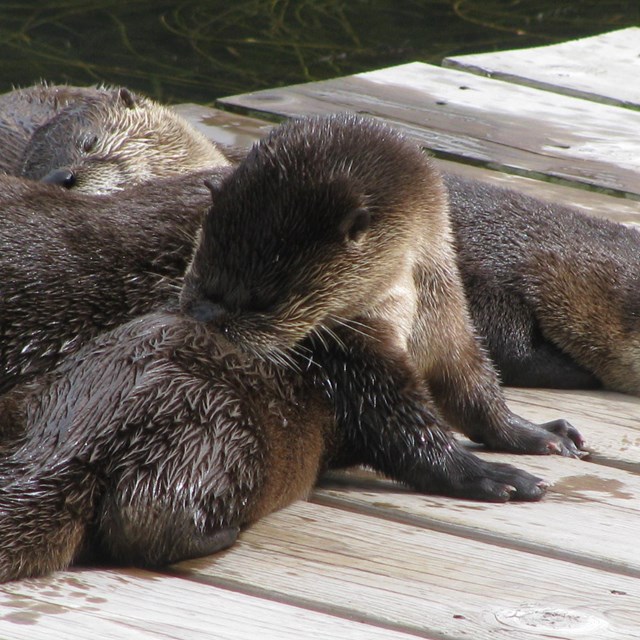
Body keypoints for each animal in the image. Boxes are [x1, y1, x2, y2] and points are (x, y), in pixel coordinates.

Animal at [179, 114, 584, 460]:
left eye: (266, 301)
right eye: (196, 273)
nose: (205, 317)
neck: (415, 313)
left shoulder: (452, 325)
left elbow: (475, 394)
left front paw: (539, 434)